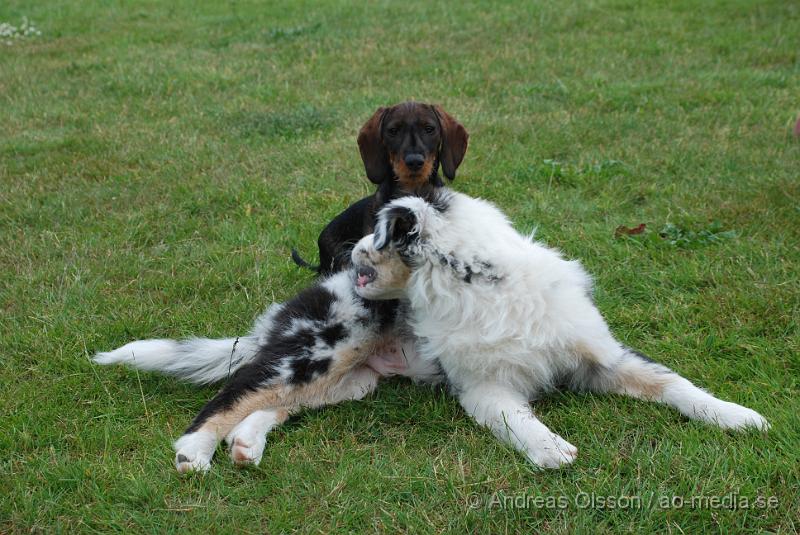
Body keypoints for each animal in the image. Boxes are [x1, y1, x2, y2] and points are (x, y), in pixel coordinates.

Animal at [98, 272, 444, 474]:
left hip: (352, 379)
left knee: (274, 399)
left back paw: (246, 442)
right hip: (327, 347)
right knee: (238, 390)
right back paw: (195, 450)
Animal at [350, 187, 768, 468]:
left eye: (376, 233)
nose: (352, 248)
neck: (484, 284)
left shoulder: (604, 355)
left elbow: (673, 382)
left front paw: (737, 416)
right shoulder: (481, 385)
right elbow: (513, 417)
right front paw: (551, 448)